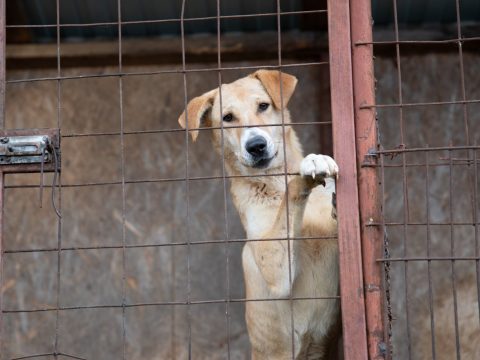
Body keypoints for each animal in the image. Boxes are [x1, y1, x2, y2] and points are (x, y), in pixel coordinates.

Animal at [178, 69, 340, 358]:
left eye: (263, 106)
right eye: (228, 118)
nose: (256, 145)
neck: (274, 181)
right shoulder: (274, 265)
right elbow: (290, 195)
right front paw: (305, 170)